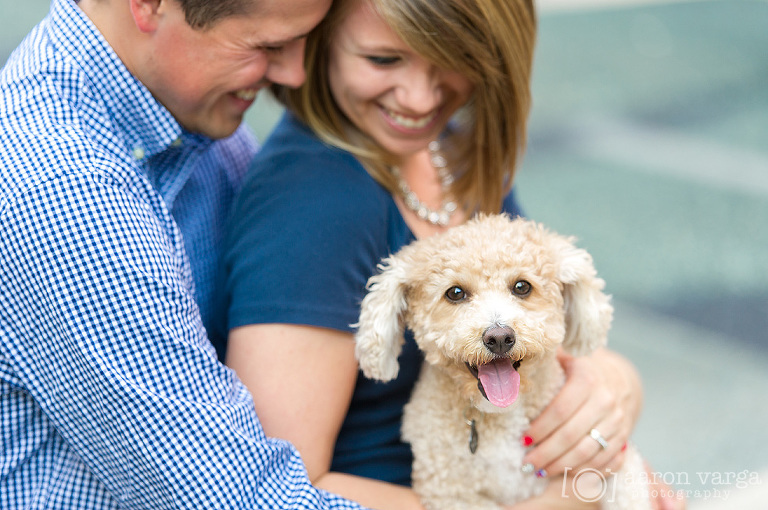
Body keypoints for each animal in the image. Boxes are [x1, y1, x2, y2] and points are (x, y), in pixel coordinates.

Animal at [352, 215, 648, 510]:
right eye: (455, 292)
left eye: (522, 287)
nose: (499, 338)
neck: (502, 417)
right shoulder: (452, 494)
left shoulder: (615, 464)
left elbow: (629, 493)